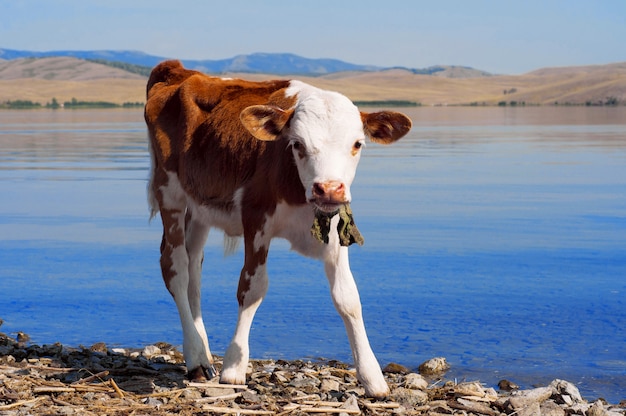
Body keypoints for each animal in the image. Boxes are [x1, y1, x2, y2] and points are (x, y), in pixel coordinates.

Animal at [144, 60, 412, 398]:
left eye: (357, 143)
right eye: (297, 144)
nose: (328, 188)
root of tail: (179, 70)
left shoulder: (334, 227)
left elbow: (348, 299)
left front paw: (372, 376)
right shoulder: (255, 216)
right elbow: (252, 288)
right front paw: (234, 367)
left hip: (200, 207)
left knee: (194, 269)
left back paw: (203, 354)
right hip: (170, 193)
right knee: (176, 268)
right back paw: (194, 356)